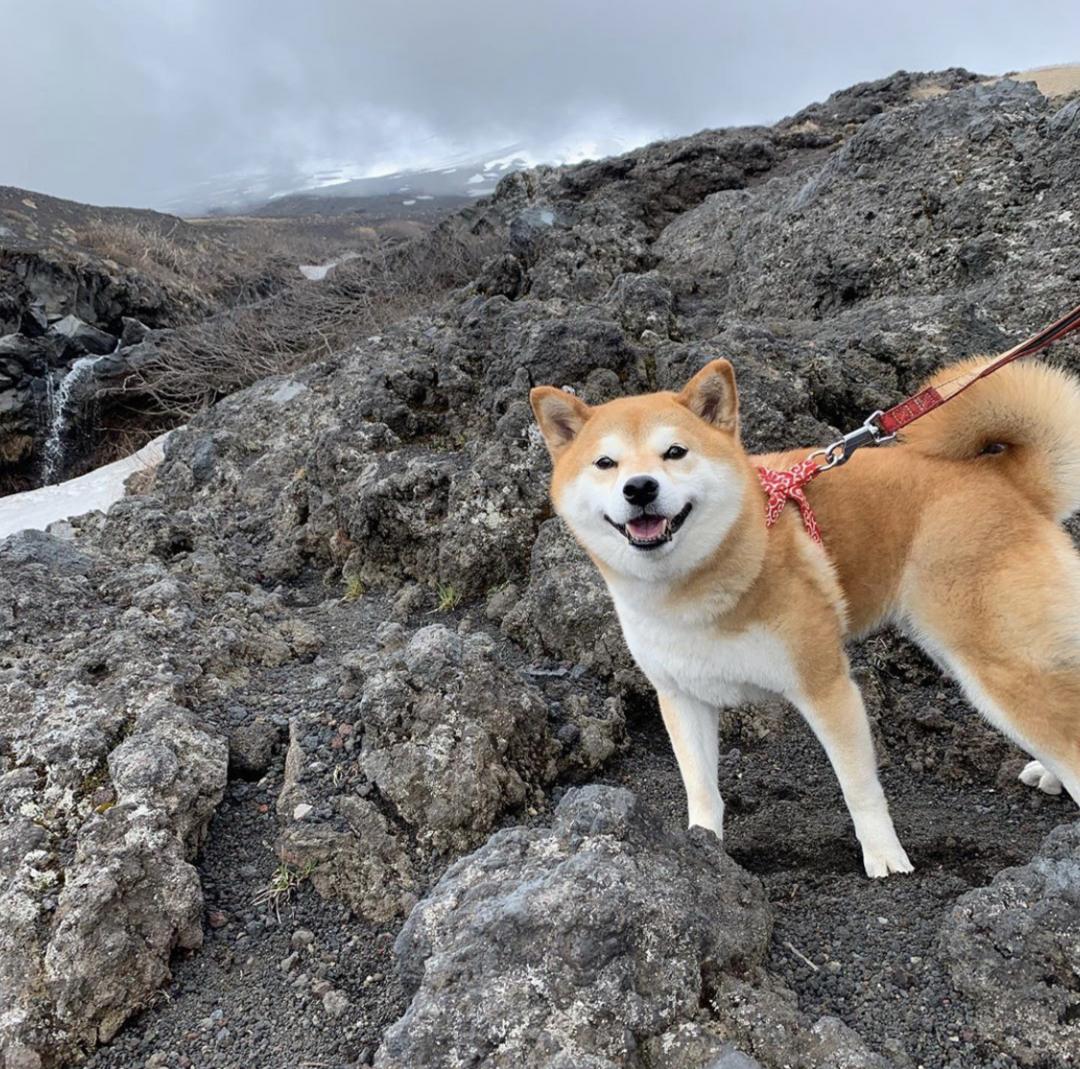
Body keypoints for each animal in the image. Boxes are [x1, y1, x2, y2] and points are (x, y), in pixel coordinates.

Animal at [531, 360, 1080, 876]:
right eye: (606, 463)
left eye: (676, 453)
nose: (639, 487)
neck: (698, 587)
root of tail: (1006, 481)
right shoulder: (682, 695)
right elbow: (701, 787)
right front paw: (703, 846)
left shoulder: (825, 686)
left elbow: (858, 786)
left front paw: (884, 857)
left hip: (996, 666)